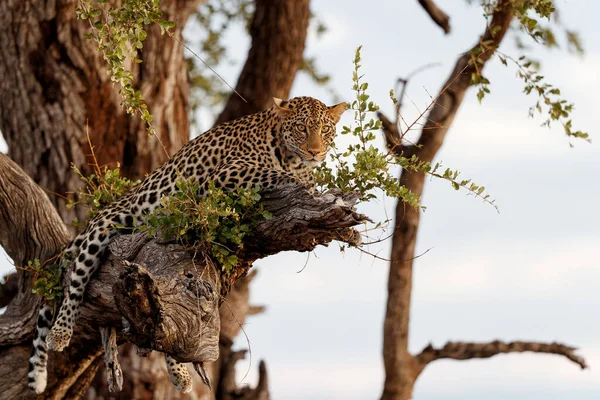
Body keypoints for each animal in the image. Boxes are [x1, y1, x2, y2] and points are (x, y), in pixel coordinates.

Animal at [28, 96, 346, 394]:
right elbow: (276, 173)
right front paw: (307, 183)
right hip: (104, 228)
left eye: (325, 130)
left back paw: (180, 373)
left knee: (170, 324)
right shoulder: (228, 172)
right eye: (302, 128)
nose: (315, 152)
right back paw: (60, 332)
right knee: (76, 280)